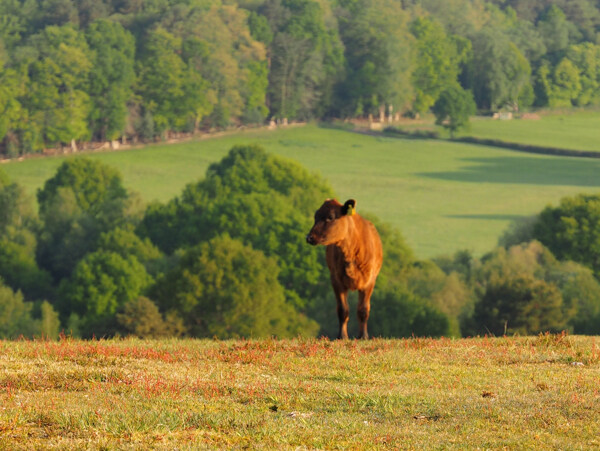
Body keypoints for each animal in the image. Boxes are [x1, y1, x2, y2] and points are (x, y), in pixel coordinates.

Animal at [308, 199, 382, 340]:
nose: (309, 237)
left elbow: (363, 309)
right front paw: (342, 336)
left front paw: (363, 336)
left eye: (330, 217)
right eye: (315, 216)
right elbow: (343, 310)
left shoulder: (369, 281)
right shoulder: (336, 280)